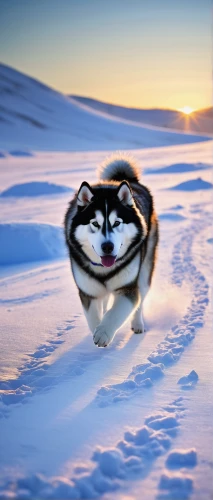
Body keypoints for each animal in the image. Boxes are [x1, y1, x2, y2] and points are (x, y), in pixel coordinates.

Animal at [64, 155, 158, 348]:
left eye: (117, 223)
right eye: (95, 223)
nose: (108, 247)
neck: (103, 269)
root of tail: (126, 179)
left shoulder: (128, 288)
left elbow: (118, 312)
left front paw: (104, 332)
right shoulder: (88, 292)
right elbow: (94, 317)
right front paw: (98, 329)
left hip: (145, 269)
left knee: (141, 298)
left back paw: (138, 324)